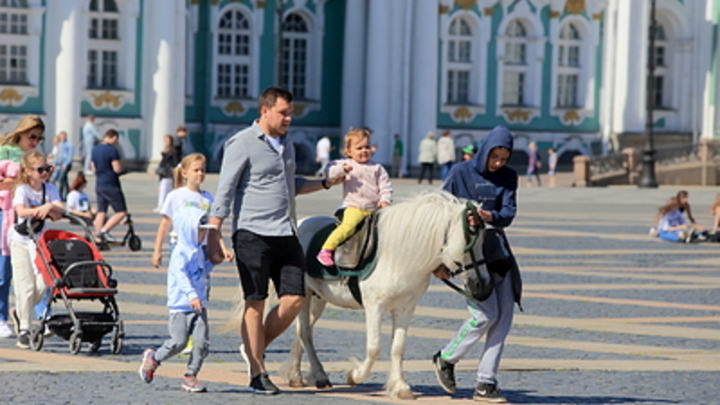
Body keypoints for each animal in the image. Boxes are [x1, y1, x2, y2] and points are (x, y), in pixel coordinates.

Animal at [282, 192, 490, 398]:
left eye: (483, 241)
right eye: (469, 243)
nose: (484, 286)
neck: (398, 257)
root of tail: (300, 223)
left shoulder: (406, 308)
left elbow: (398, 348)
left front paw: (400, 386)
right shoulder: (375, 307)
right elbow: (374, 348)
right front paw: (354, 375)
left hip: (318, 299)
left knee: (302, 332)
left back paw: (297, 375)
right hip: (305, 296)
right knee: (305, 333)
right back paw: (319, 375)